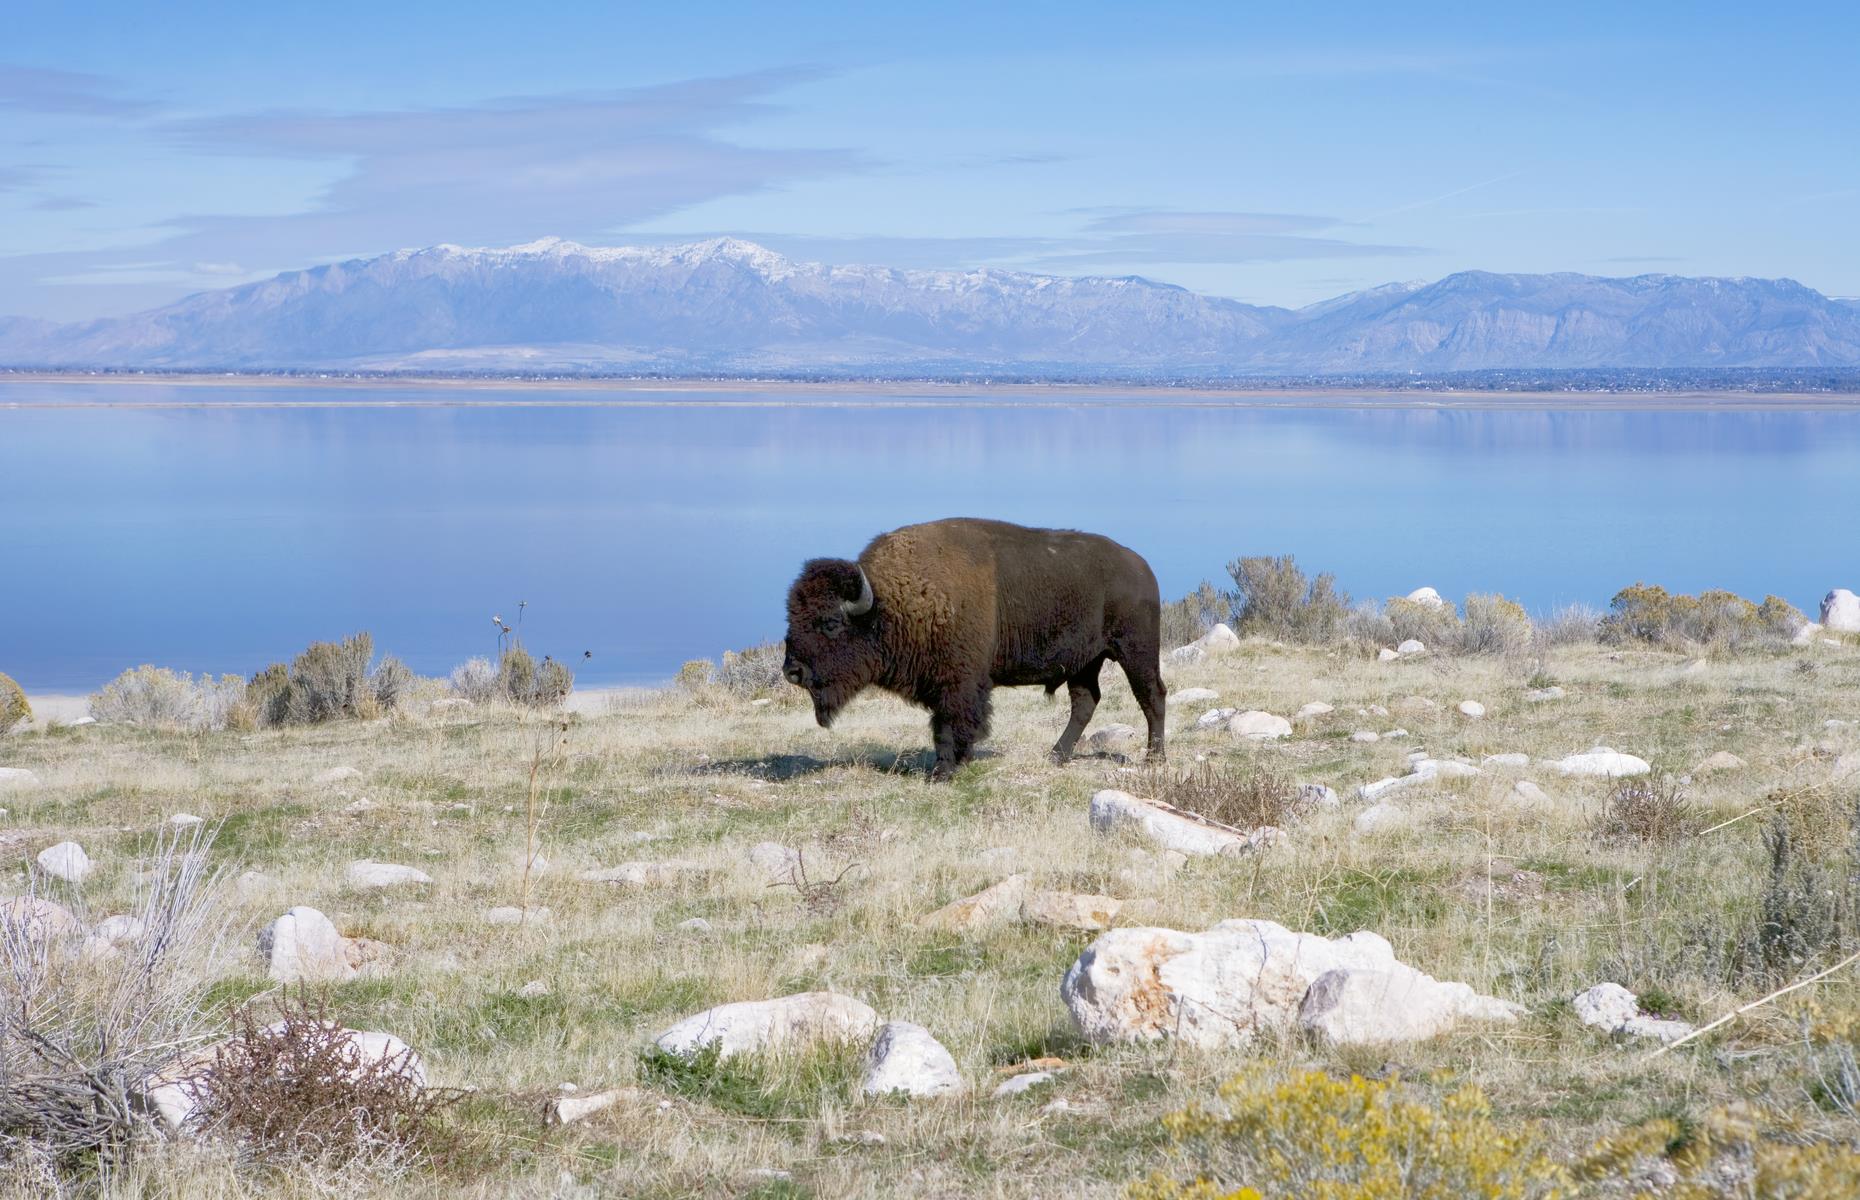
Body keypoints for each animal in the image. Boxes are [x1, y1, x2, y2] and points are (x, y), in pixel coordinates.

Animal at [781, 517, 1160, 781]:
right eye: (791, 616)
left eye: (831, 623)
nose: (792, 671)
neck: (889, 603)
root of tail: (1142, 567)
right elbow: (945, 725)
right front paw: (953, 765)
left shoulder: (958, 684)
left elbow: (951, 725)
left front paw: (943, 772)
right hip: (1084, 663)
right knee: (1085, 702)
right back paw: (1056, 755)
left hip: (1135, 651)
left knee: (1152, 696)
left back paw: (1154, 758)